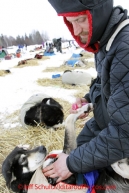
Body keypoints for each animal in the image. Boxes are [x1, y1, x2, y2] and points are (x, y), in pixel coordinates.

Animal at [1, 104, 129, 193]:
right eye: (23, 159)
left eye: (26, 149)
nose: (42, 147)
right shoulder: (67, 155)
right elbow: (69, 120)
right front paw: (84, 108)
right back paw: (117, 163)